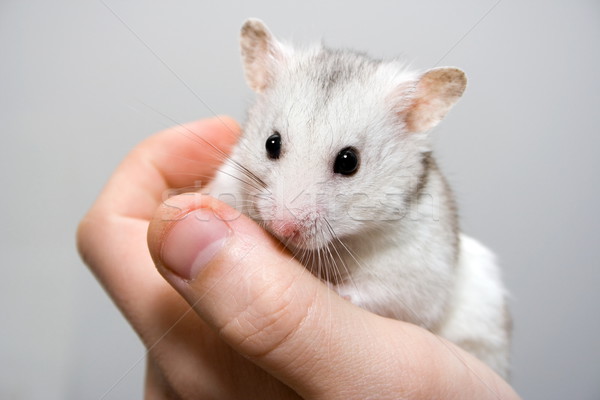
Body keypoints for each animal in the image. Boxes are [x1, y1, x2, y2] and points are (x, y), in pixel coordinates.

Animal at [206, 19, 510, 378]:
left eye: (349, 161)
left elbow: (377, 293)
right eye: (271, 143)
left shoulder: (415, 273)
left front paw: (333, 290)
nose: (283, 228)